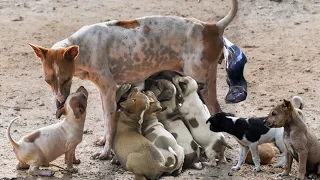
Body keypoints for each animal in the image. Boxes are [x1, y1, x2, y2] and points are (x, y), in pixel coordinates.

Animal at [28, 0, 238, 160]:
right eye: (48, 81)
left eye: (65, 80)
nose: (59, 103)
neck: (83, 48)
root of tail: (212, 27)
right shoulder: (105, 93)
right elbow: (106, 119)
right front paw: (104, 142)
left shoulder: (108, 89)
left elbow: (109, 122)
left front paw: (106, 152)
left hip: (202, 84)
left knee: (216, 110)